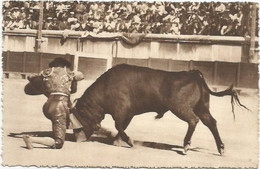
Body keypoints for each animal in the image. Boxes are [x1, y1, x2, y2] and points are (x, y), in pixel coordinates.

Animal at [71, 64, 248, 155]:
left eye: (81, 116)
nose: (77, 139)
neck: (106, 88)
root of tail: (193, 74)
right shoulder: (128, 114)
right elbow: (122, 127)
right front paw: (117, 141)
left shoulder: (121, 111)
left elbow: (119, 126)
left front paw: (129, 141)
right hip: (202, 107)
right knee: (211, 122)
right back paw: (221, 148)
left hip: (180, 108)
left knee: (193, 120)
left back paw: (186, 146)